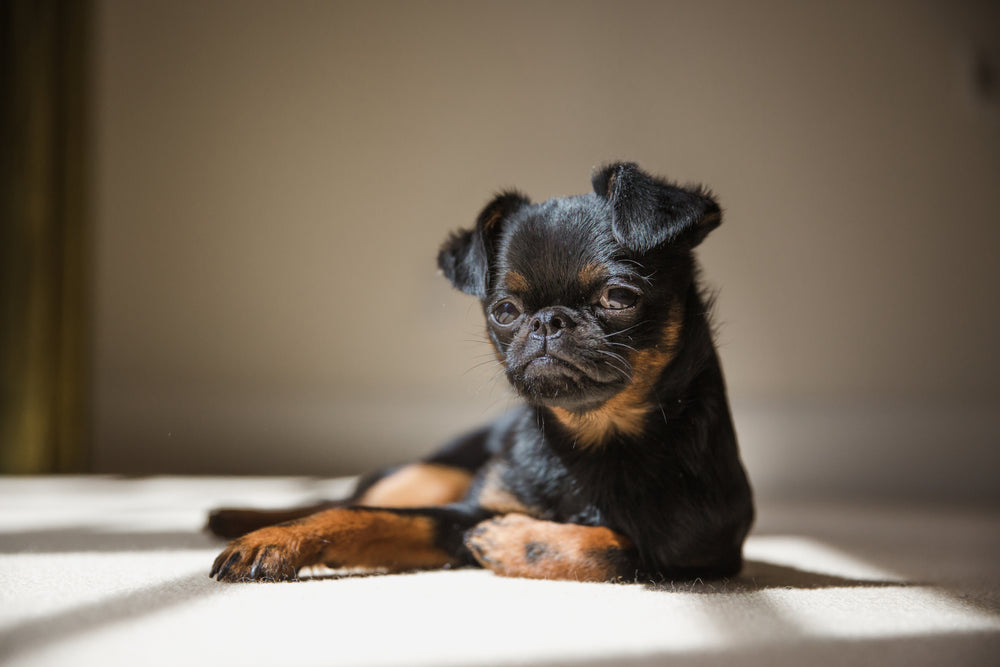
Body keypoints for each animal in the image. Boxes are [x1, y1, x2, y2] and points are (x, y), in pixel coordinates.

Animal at [209, 162, 752, 584]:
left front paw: (516, 540)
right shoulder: (456, 514)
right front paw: (273, 541)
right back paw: (237, 515)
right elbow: (361, 517)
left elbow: (617, 546)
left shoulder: (703, 555)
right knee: (346, 494)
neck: (593, 439)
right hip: (430, 474)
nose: (547, 320)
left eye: (619, 297)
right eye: (505, 311)